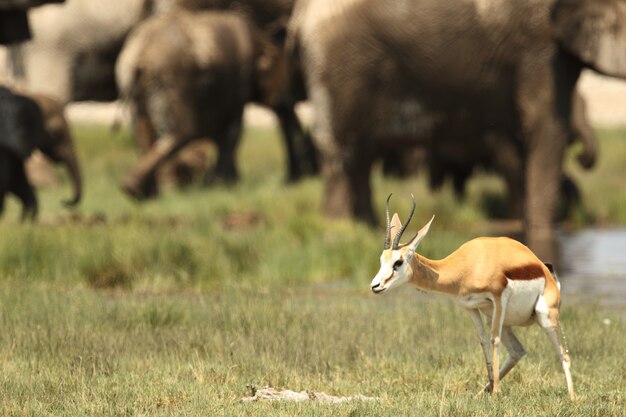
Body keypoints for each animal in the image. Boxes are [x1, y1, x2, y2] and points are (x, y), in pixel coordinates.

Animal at [116, 9, 290, 198]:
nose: (281, 100)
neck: (259, 36)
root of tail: (140, 53)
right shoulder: (238, 80)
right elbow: (232, 130)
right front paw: (225, 185)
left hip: (135, 84)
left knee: (142, 131)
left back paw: (140, 191)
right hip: (171, 79)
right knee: (181, 131)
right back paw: (160, 190)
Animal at [292, 0, 624, 256]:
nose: (582, 157)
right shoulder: (538, 44)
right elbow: (546, 126)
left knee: (358, 158)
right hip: (341, 64)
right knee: (342, 152)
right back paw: (339, 229)